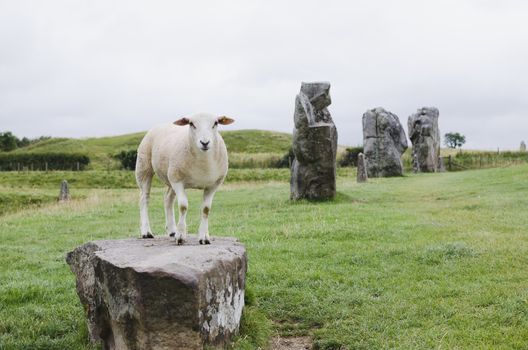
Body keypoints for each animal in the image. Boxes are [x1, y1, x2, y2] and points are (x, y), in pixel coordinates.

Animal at [135, 113, 234, 245]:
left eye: (216, 123)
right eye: (191, 124)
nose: (205, 142)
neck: (203, 164)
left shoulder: (213, 185)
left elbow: (206, 209)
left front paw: (204, 237)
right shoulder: (178, 181)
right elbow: (183, 206)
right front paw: (181, 235)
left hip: (170, 175)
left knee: (168, 199)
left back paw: (172, 230)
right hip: (144, 167)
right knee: (144, 199)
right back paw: (146, 232)